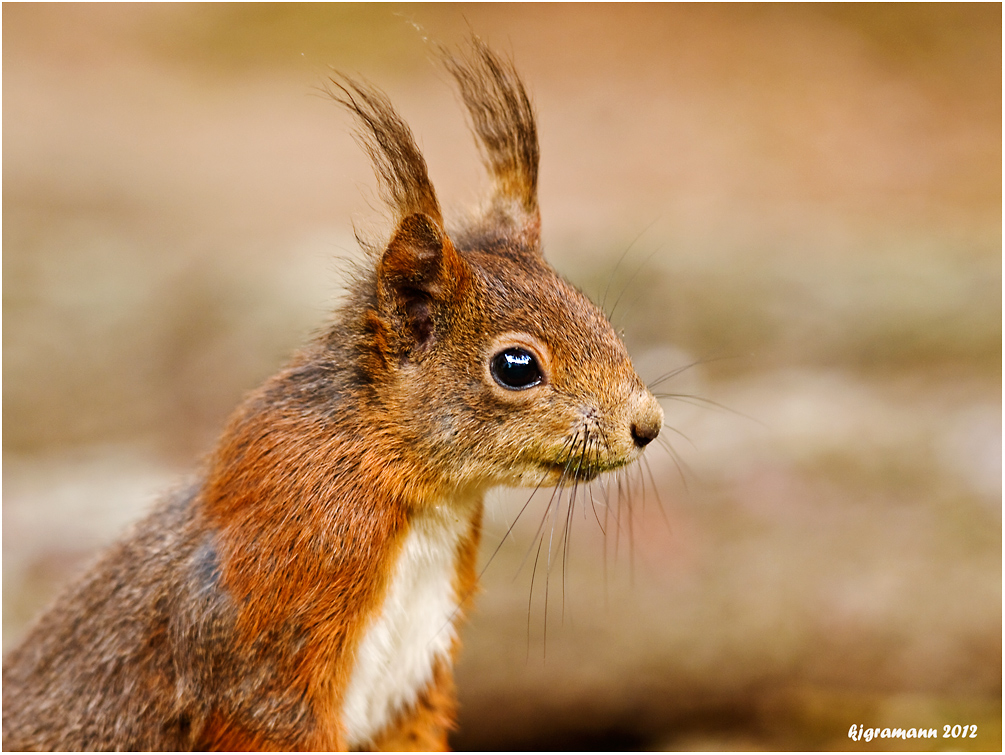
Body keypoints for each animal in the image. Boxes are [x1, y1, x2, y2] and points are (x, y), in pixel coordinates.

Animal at [1, 39, 667, 751]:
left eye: (590, 307)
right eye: (516, 366)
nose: (647, 425)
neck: (425, 502)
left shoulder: (414, 693)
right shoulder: (269, 642)